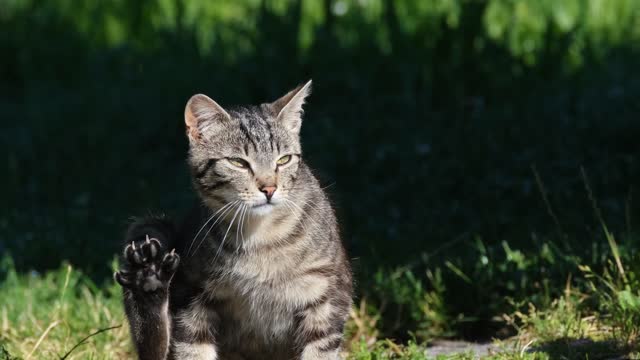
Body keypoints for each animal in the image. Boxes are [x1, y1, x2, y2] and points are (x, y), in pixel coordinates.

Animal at [115, 81, 356, 360]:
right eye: (238, 162)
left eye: (284, 159)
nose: (269, 188)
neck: (262, 236)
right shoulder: (193, 299)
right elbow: (191, 349)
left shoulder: (326, 297)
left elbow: (320, 350)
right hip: (148, 227)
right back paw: (148, 279)